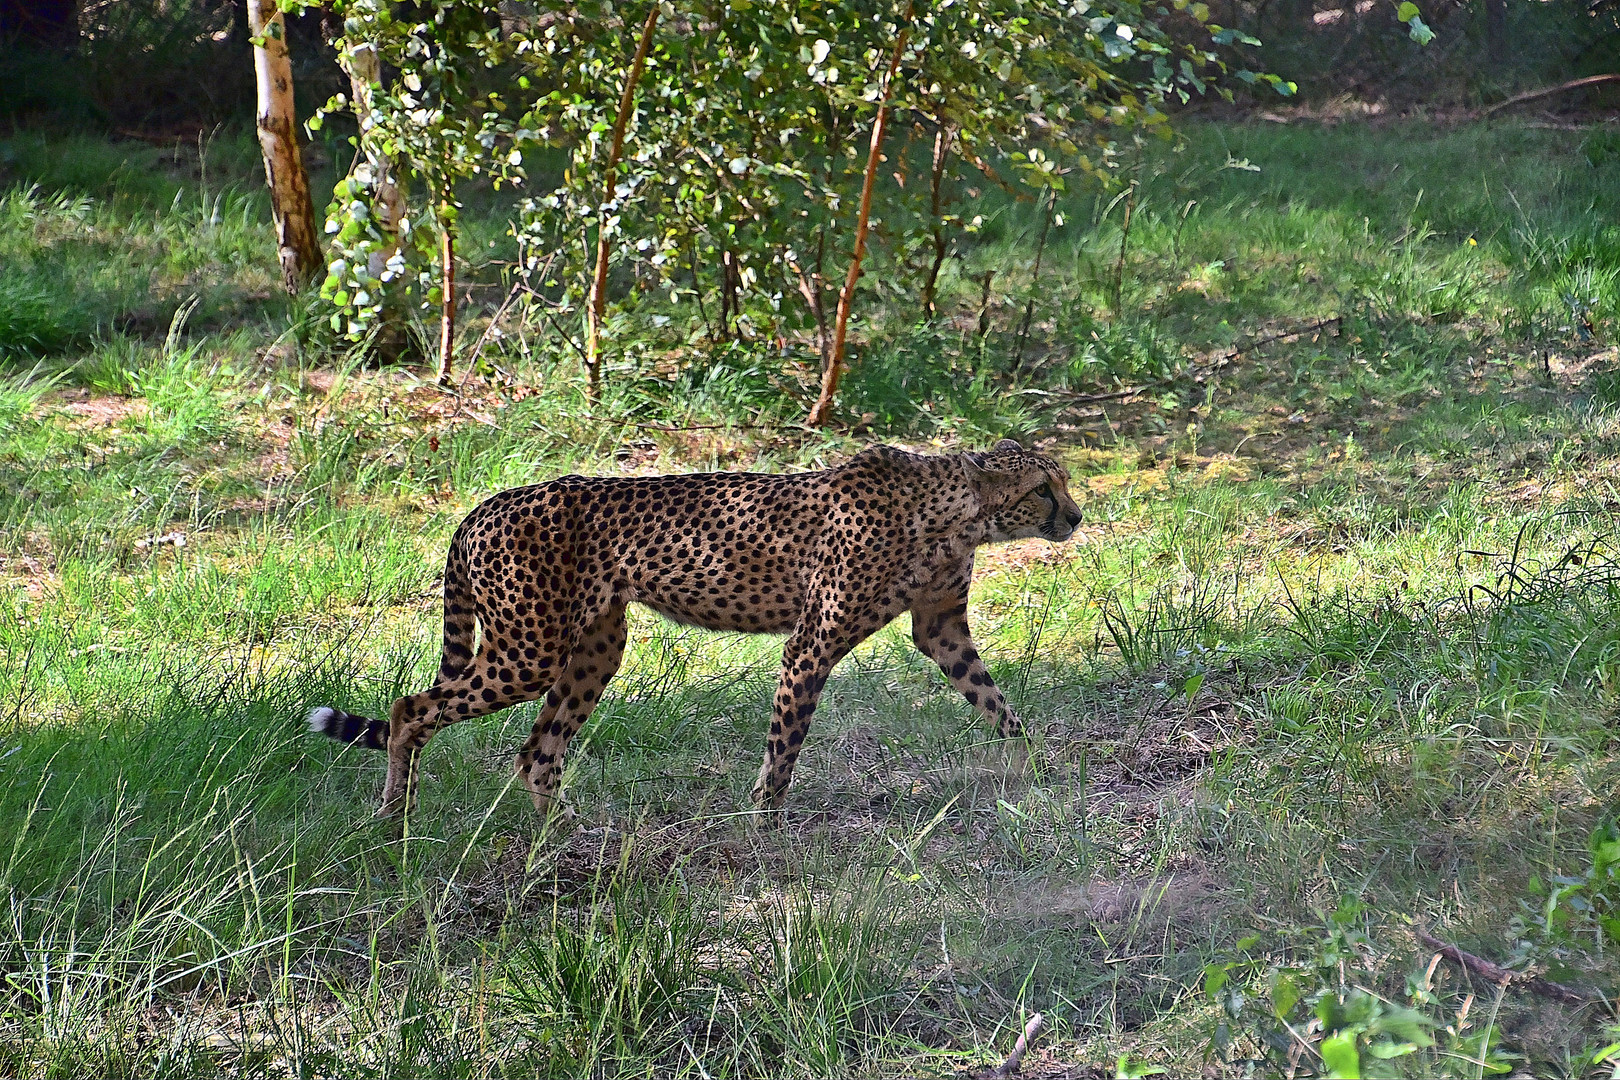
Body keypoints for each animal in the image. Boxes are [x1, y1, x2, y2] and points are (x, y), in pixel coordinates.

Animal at [307, 440, 1082, 819]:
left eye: (1064, 482)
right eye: (1043, 489)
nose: (1075, 517)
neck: (955, 511)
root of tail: (487, 503)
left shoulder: (941, 628)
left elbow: (995, 700)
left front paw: (1040, 767)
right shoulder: (811, 643)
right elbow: (785, 745)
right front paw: (763, 823)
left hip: (593, 649)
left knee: (536, 752)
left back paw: (567, 840)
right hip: (528, 651)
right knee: (410, 708)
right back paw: (394, 816)